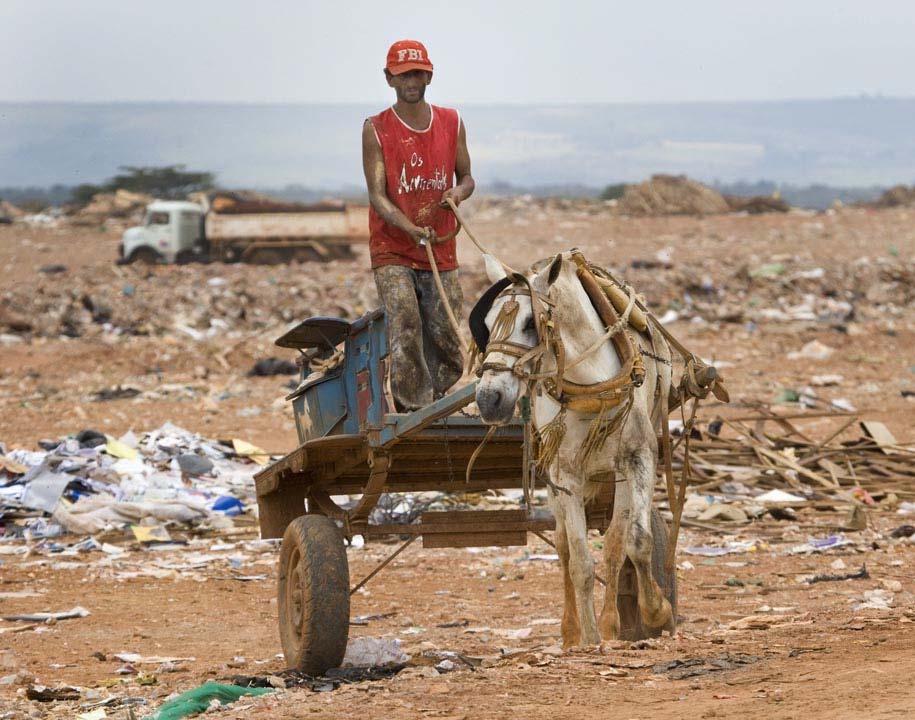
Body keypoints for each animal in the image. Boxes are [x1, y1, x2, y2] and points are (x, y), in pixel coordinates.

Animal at [472, 252, 672, 648]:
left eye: (531, 323)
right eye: (485, 324)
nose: (488, 399)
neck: (593, 383)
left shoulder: (638, 458)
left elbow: (633, 542)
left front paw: (654, 612)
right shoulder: (564, 474)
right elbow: (580, 561)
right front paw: (591, 638)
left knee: (615, 543)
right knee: (563, 546)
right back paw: (570, 631)